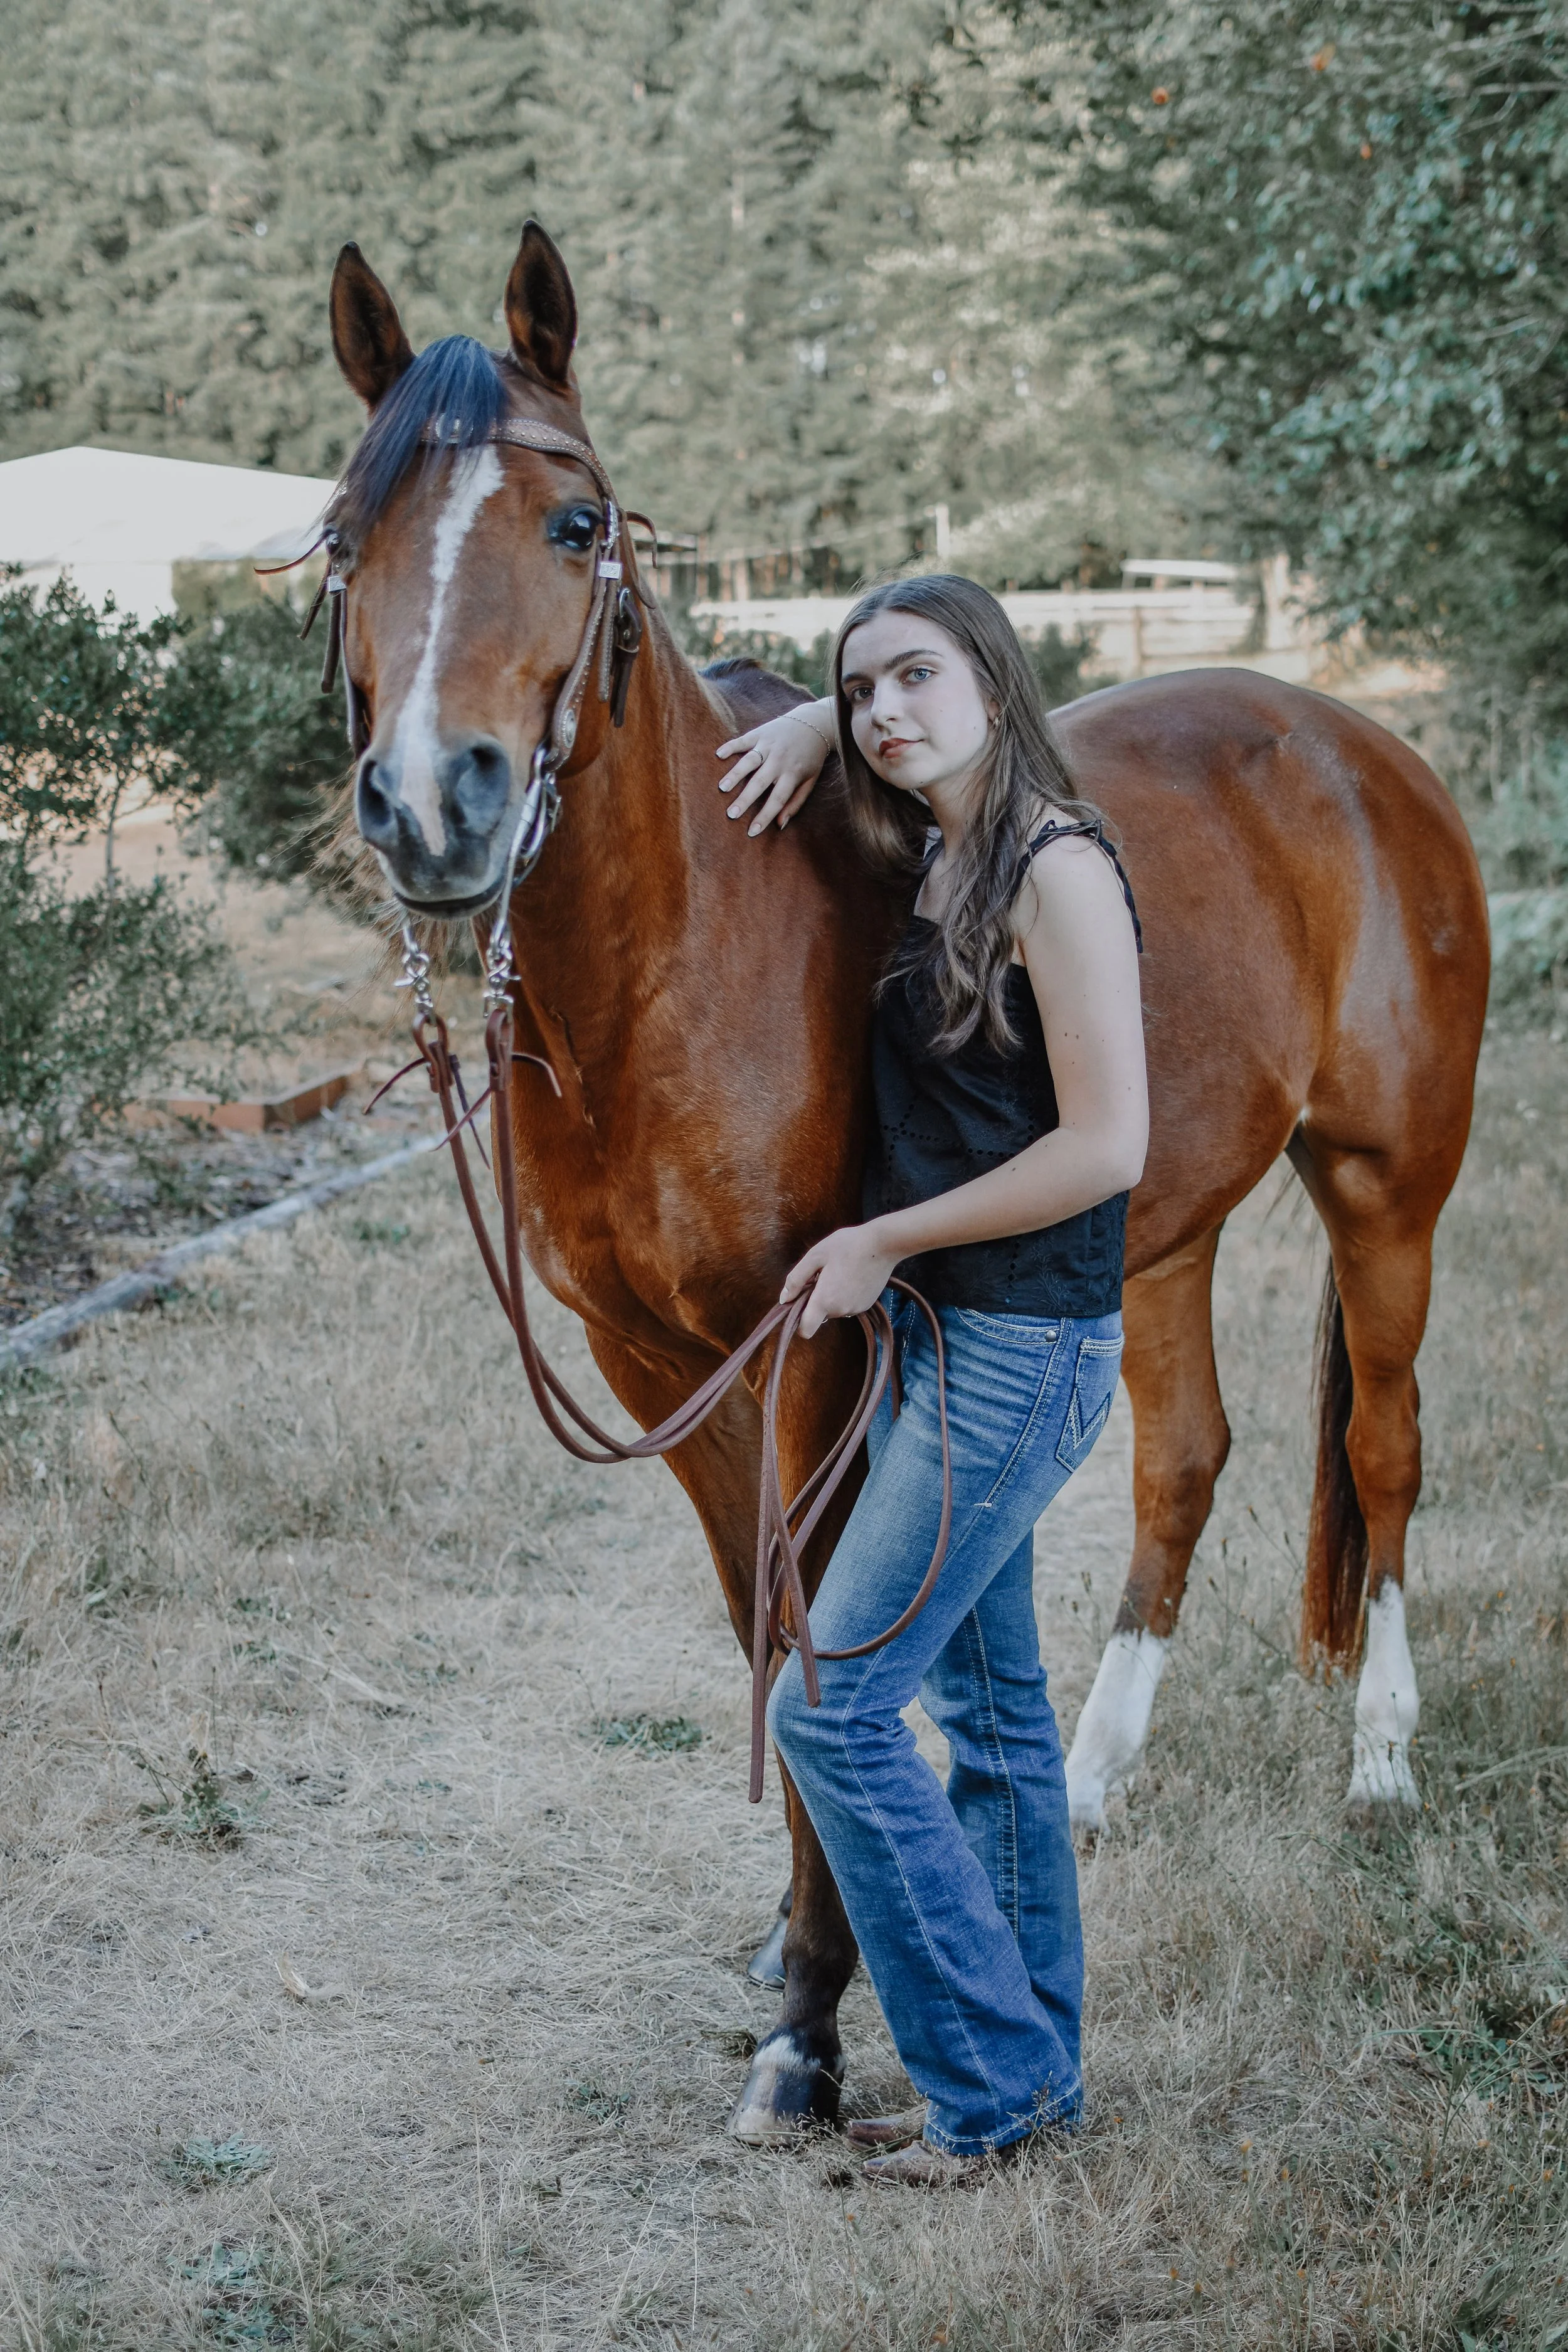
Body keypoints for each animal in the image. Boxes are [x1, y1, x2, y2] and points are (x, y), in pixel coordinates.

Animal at [323, 220, 1489, 2143]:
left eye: (576, 524)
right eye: (347, 533)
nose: (435, 804)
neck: (674, 961)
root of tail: (1351, 743)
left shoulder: (823, 1335)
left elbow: (810, 1626)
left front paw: (812, 2016)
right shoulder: (661, 1365)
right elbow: (756, 1620)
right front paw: (810, 1950)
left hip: (1386, 1184)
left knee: (1384, 1450)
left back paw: (1382, 1758)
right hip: (1151, 1234)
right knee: (1179, 1464)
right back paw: (1085, 1778)